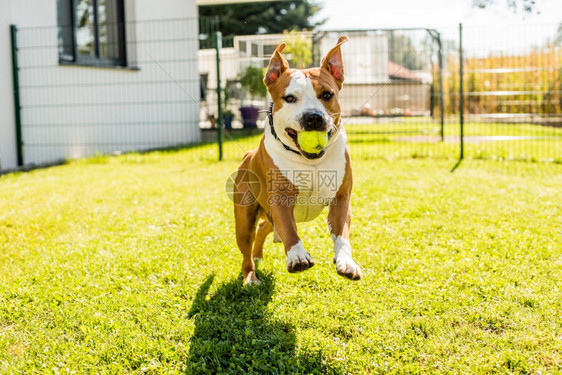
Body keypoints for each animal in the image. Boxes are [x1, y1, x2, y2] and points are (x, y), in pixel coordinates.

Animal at [233, 36, 360, 286]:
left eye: (327, 95)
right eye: (290, 98)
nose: (313, 117)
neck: (310, 161)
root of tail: (247, 155)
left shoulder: (341, 199)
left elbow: (342, 234)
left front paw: (346, 262)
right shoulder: (281, 201)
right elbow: (290, 230)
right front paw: (298, 256)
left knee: (263, 227)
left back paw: (258, 256)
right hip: (244, 221)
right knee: (247, 248)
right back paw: (251, 276)